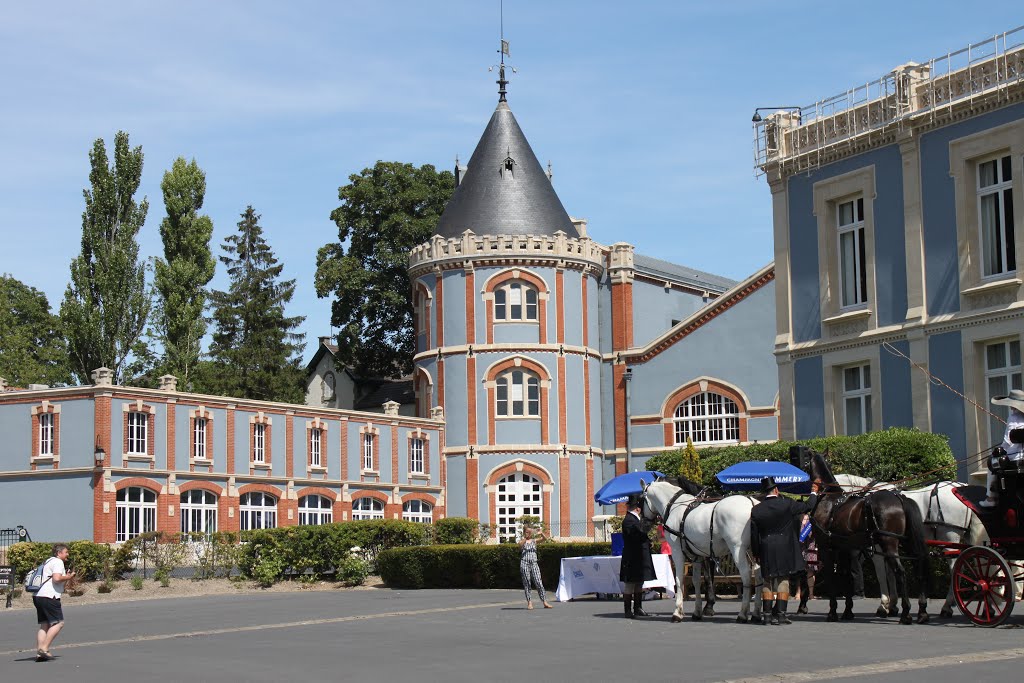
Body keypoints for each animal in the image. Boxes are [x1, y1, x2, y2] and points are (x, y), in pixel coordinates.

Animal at [638, 481, 761, 626]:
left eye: (641, 500)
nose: (643, 525)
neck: (675, 507)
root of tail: (751, 503)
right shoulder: (697, 555)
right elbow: (696, 581)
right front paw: (697, 612)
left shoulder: (677, 552)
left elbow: (679, 580)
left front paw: (677, 613)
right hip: (753, 551)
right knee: (759, 575)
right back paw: (756, 614)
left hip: (738, 549)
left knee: (746, 576)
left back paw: (742, 614)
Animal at [798, 448, 929, 626]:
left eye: (805, 463)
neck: (829, 497)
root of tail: (900, 498)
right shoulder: (844, 549)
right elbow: (846, 577)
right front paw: (847, 611)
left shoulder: (827, 549)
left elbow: (832, 578)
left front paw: (832, 612)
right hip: (907, 543)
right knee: (918, 567)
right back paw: (922, 611)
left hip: (889, 544)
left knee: (900, 573)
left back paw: (906, 612)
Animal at [835, 475, 987, 618]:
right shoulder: (888, 547)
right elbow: (891, 574)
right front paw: (893, 605)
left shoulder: (878, 547)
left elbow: (881, 575)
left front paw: (884, 605)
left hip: (949, 538)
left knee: (956, 569)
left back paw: (947, 605)